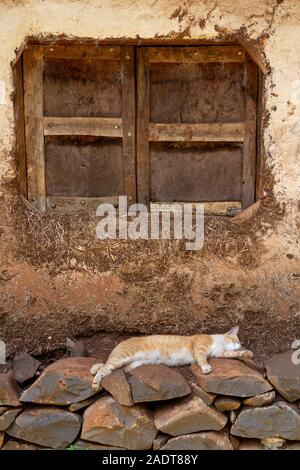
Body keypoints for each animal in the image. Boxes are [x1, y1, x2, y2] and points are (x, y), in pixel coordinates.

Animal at [90, 324, 252, 392]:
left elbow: (232, 355)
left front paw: (247, 353)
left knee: (109, 368)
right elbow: (202, 359)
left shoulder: (221, 353)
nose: (238, 345)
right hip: (122, 357)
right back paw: (95, 382)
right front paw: (206, 367)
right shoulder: (200, 348)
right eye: (236, 340)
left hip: (131, 364)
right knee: (104, 367)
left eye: (239, 344)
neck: (217, 341)